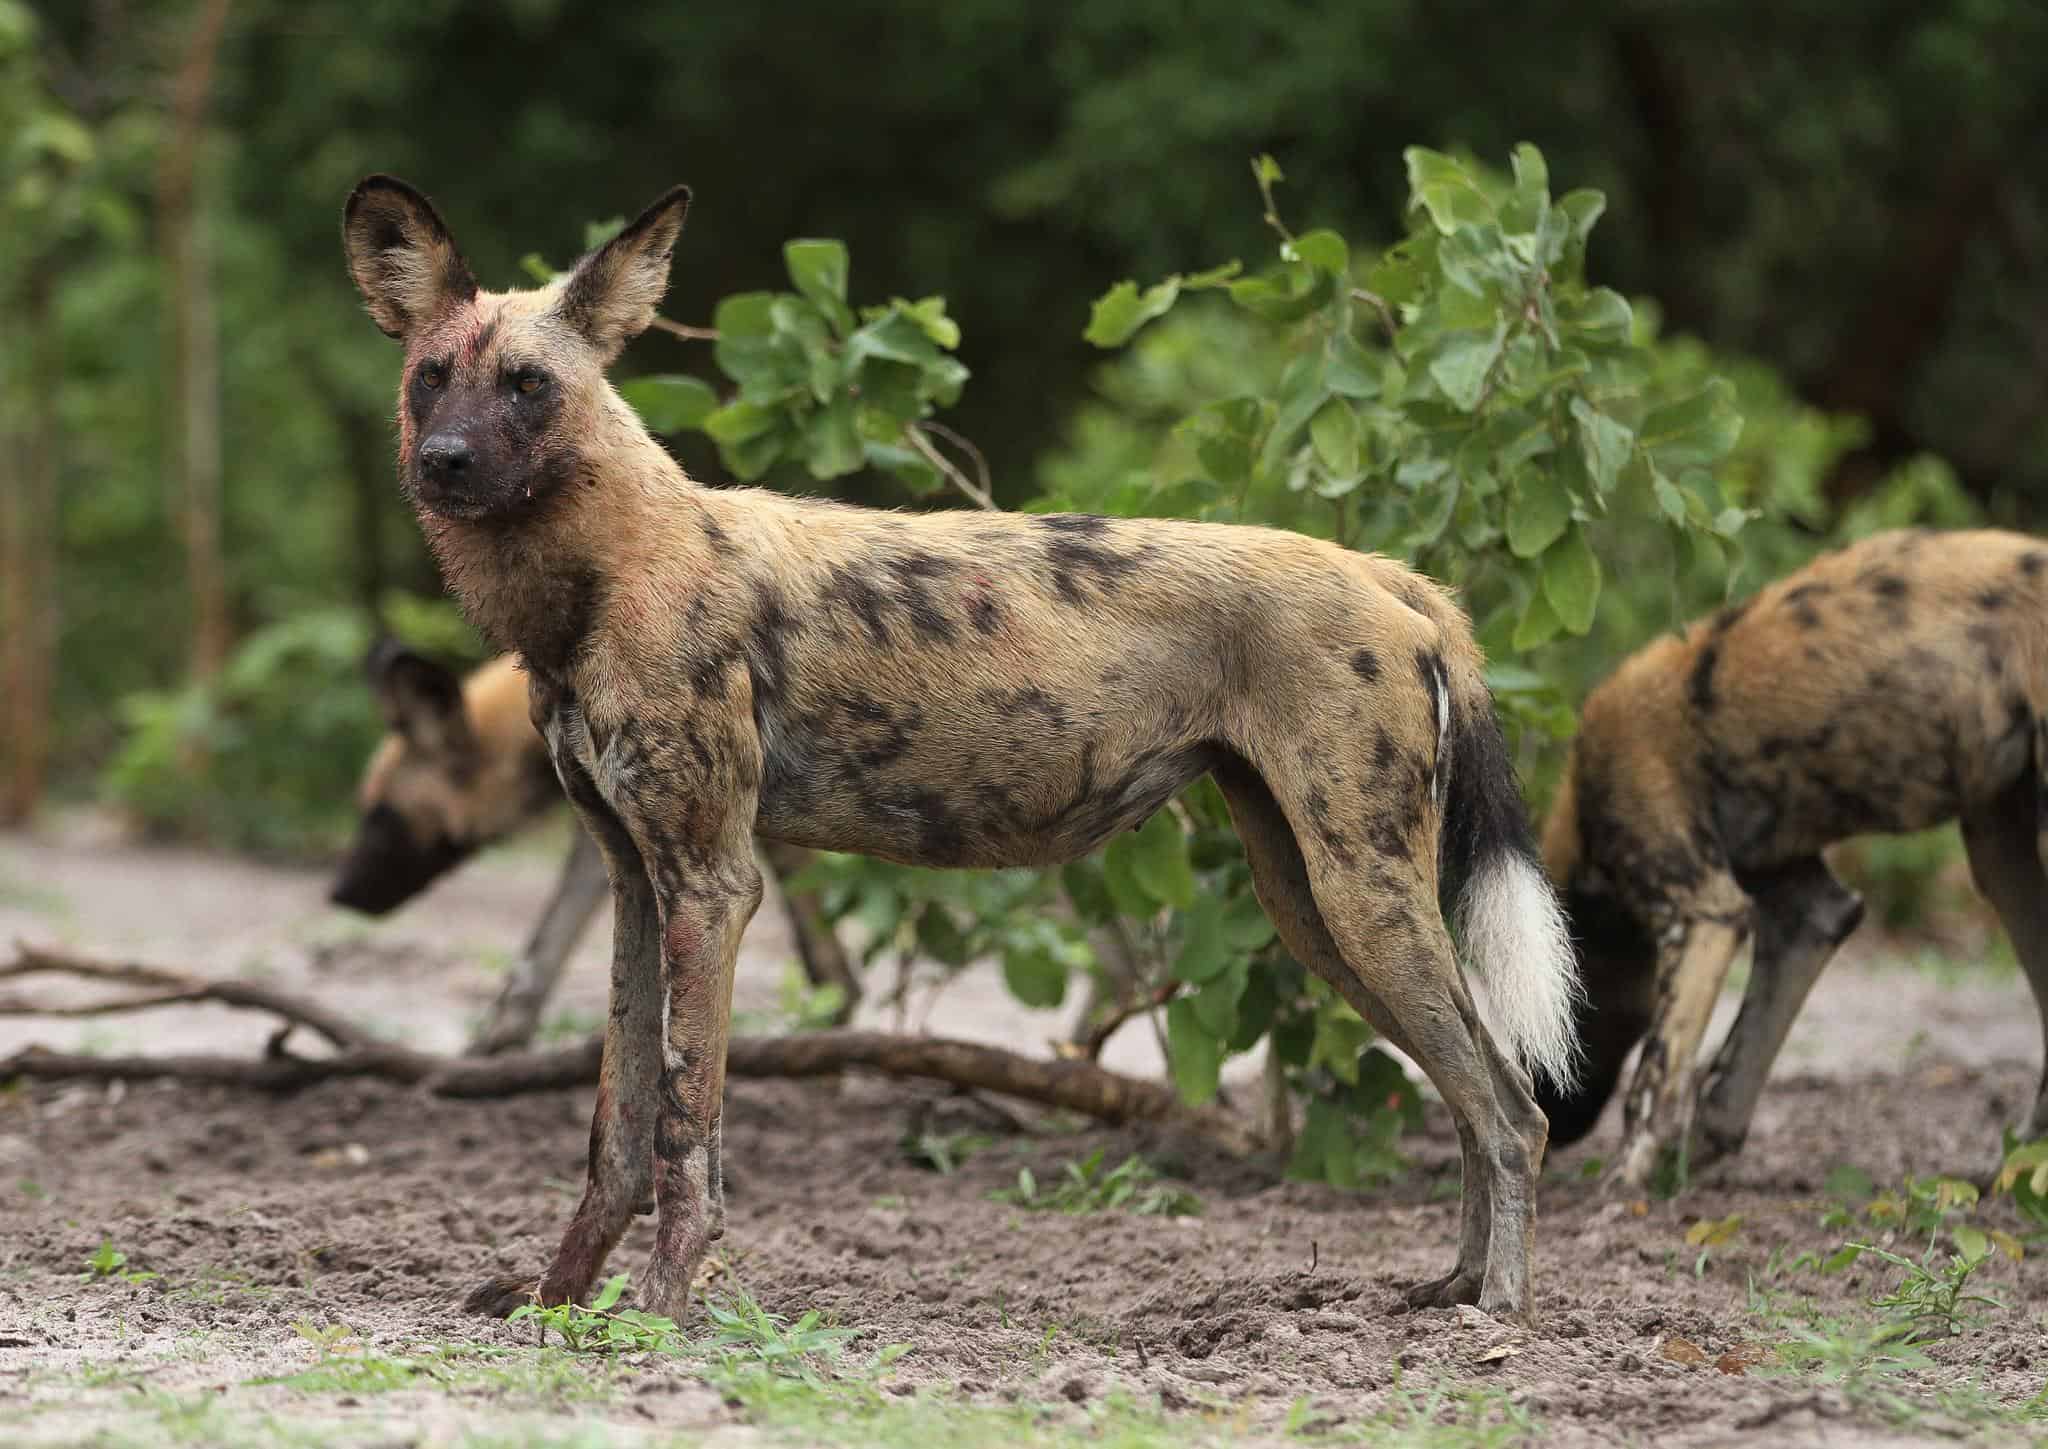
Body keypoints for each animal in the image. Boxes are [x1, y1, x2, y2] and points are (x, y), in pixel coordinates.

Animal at [331, 646, 860, 1056]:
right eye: (363, 807)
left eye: (383, 818)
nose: (338, 893)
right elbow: (545, 944)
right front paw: (498, 1037)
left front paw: (837, 1007)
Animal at [1540, 528, 2048, 1187]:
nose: (1552, 1130)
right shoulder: (1803, 910)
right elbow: (1728, 1077)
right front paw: (1690, 1165)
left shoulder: (1703, 914)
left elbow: (1652, 1083)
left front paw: (1621, 1189)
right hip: (2000, 849)